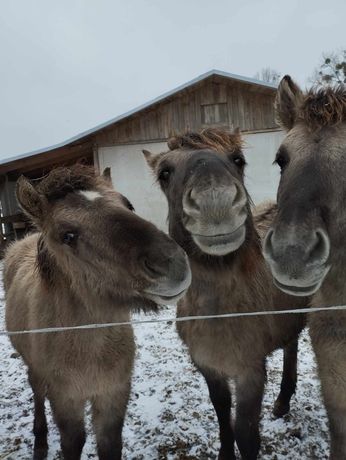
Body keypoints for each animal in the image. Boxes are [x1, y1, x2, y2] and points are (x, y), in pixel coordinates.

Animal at [4, 165, 191, 460]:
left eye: (128, 205)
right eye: (68, 235)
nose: (170, 263)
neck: (90, 349)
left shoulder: (113, 395)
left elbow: (109, 443)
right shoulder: (66, 400)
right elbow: (73, 442)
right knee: (36, 390)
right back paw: (40, 440)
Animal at [144, 129, 308, 460]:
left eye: (238, 159)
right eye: (165, 172)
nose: (215, 202)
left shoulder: (250, 372)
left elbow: (246, 433)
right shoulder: (208, 366)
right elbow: (222, 414)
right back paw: (282, 403)